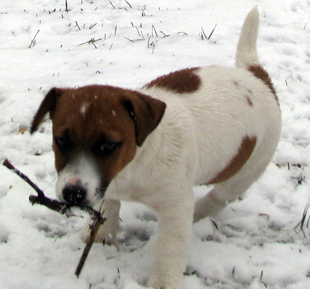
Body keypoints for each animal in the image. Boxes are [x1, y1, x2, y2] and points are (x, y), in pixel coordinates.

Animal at [30, 6, 280, 288]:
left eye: (108, 145)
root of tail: (257, 77)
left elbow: (169, 247)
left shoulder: (175, 205)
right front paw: (102, 232)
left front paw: (163, 281)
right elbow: (110, 204)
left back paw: (199, 212)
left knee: (219, 197)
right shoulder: (107, 184)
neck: (133, 165)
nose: (73, 194)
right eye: (61, 140)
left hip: (246, 169)